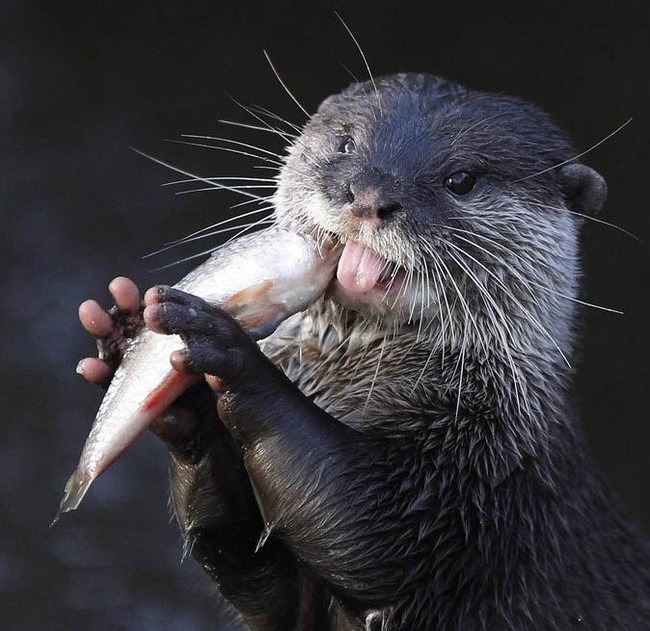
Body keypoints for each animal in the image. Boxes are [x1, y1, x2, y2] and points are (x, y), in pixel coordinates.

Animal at [78, 75, 648, 631]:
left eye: (462, 179)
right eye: (347, 143)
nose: (367, 197)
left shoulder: (477, 483)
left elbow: (366, 523)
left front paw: (223, 343)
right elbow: (253, 573)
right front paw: (155, 366)